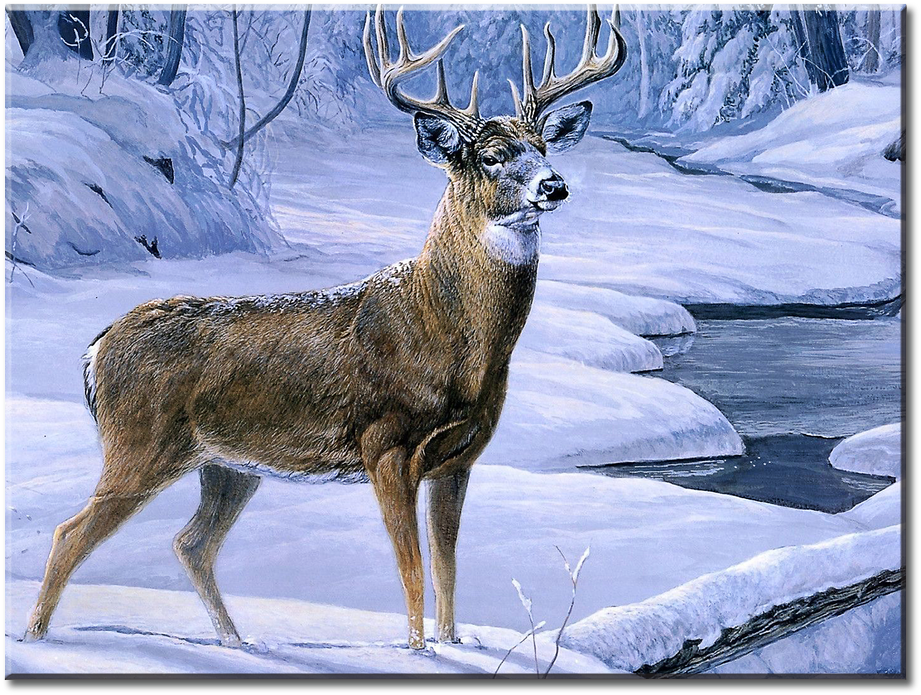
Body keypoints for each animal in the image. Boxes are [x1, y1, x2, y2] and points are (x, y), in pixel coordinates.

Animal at [25, 4, 626, 651]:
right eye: (491, 156)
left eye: (542, 146)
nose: (555, 185)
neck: (449, 337)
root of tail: (95, 349)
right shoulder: (384, 441)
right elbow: (411, 567)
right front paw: (416, 651)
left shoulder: (460, 458)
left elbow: (447, 567)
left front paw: (451, 644)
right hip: (140, 442)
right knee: (69, 533)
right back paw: (38, 637)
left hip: (228, 465)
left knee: (191, 542)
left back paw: (238, 642)